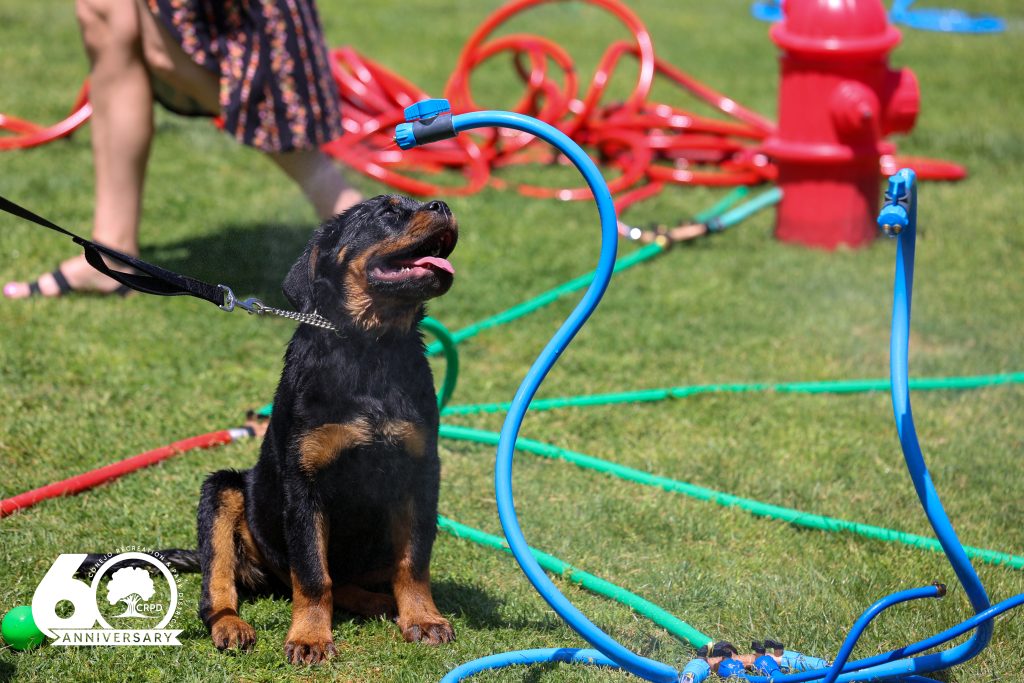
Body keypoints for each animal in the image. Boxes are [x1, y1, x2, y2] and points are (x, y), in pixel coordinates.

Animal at [194, 194, 456, 663]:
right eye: (388, 213)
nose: (442, 204)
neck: (371, 348)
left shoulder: (420, 471)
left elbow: (413, 560)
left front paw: (423, 619)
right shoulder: (304, 483)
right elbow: (314, 573)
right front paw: (310, 639)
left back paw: (378, 602)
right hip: (223, 491)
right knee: (220, 583)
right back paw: (231, 626)